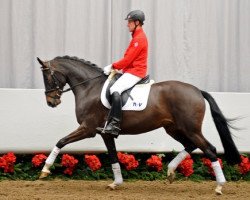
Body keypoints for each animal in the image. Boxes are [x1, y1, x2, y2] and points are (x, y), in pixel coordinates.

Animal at [37, 55, 240, 195]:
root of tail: (197, 91)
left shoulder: (88, 129)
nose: (51, 102)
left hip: (191, 129)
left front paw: (45, 170)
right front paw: (116, 183)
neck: (90, 88)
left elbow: (61, 141)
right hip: (174, 128)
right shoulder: (105, 133)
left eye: (47, 77)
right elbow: (113, 156)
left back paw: (219, 187)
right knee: (190, 145)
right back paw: (170, 171)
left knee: (210, 149)